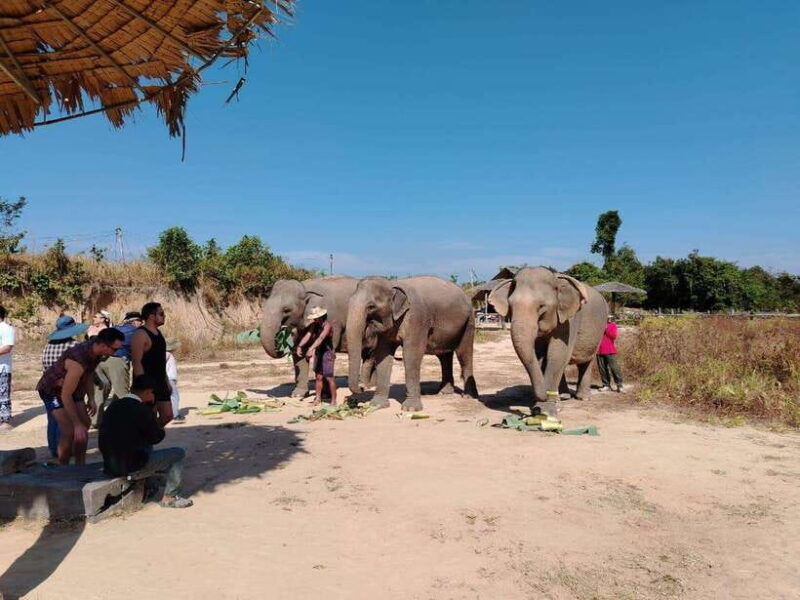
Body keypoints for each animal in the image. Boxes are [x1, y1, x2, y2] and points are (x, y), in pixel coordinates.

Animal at [346, 276, 479, 411]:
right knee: (444, 356)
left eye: (371, 306)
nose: (362, 387)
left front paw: (410, 409)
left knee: (464, 354)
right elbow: (383, 354)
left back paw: (468, 396)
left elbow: (411, 354)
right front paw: (377, 404)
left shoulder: (417, 318)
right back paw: (444, 392)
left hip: (469, 321)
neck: (393, 283)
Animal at [488, 267, 608, 410]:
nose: (545, 394)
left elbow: (557, 354)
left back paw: (583, 398)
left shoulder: (570, 320)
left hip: (600, 330)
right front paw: (543, 404)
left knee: (587, 362)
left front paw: (548, 407)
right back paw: (564, 396)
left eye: (541, 306)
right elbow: (540, 355)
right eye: (510, 306)